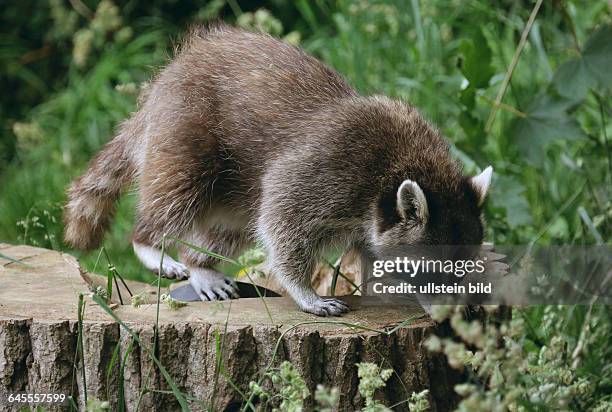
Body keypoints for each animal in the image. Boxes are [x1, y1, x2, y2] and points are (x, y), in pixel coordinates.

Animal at [63, 25, 492, 316]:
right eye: (432, 269)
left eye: (463, 268)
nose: (457, 314)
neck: (410, 162)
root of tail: (166, 77)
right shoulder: (333, 168)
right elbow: (283, 218)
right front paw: (303, 290)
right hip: (188, 130)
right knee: (179, 192)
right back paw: (150, 241)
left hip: (235, 178)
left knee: (231, 226)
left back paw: (199, 261)